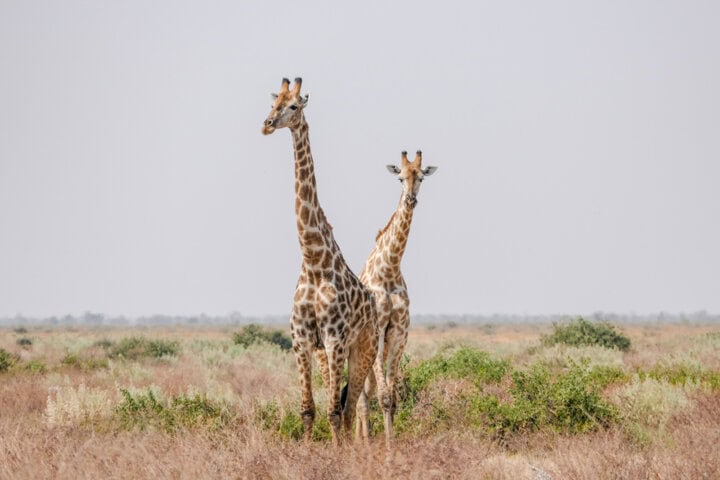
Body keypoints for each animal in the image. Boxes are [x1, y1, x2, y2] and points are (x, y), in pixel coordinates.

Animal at [261, 77, 378, 445]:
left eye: (294, 106)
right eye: (273, 103)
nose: (267, 124)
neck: (313, 260)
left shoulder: (334, 339)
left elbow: (334, 412)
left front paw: (337, 454)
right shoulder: (301, 339)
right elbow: (308, 410)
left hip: (364, 349)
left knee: (352, 407)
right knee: (348, 405)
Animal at [356, 150, 437, 447]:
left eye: (421, 177)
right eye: (400, 178)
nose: (411, 200)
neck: (389, 269)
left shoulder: (400, 333)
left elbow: (392, 398)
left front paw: (393, 449)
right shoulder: (379, 331)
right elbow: (382, 396)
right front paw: (381, 450)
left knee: (363, 392)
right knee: (360, 398)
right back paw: (361, 446)